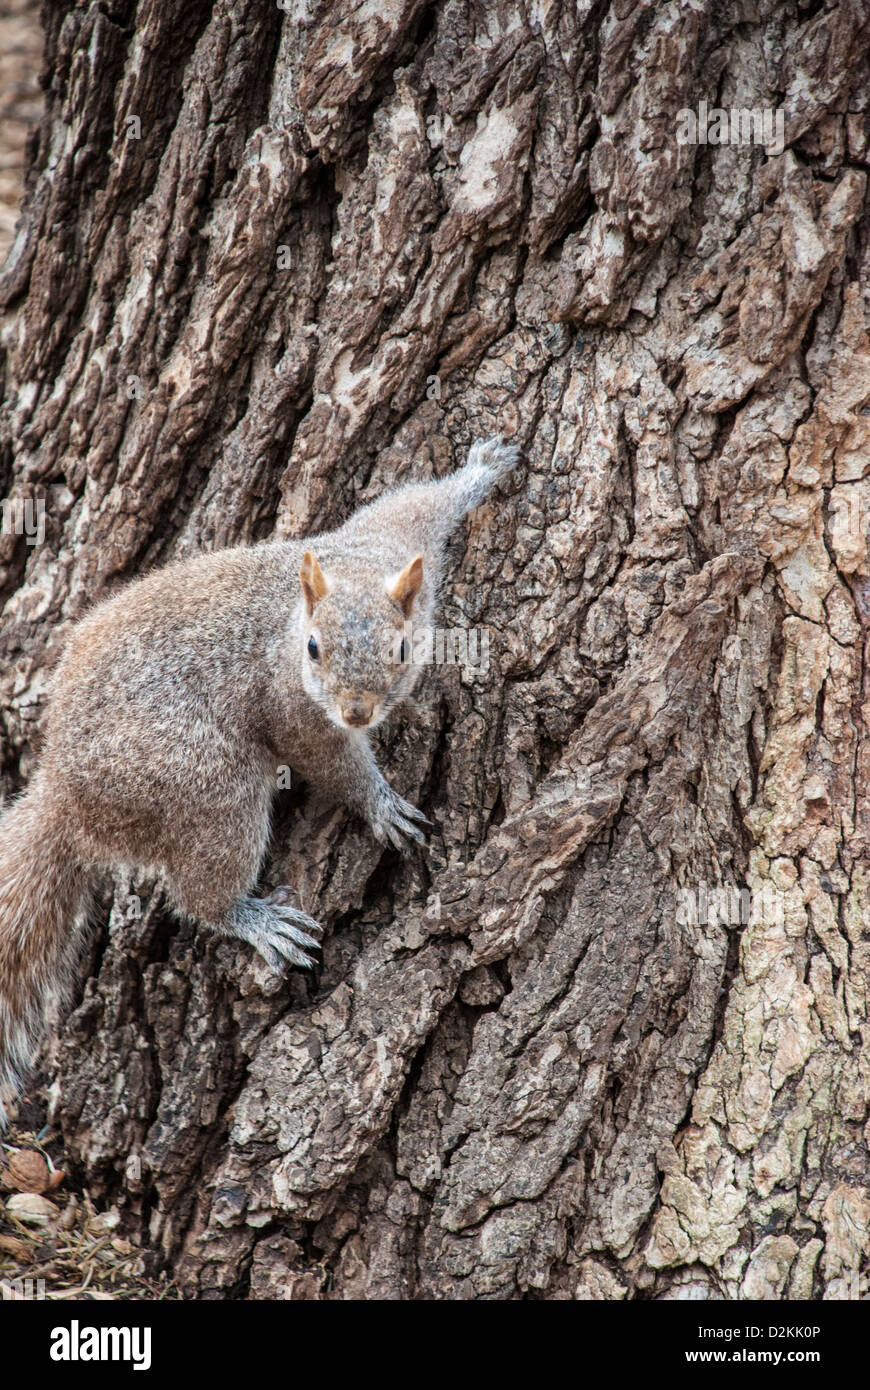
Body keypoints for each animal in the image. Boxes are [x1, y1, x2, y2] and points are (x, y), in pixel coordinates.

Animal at [0, 430, 514, 1117]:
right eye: (314, 650)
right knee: (200, 894)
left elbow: (418, 500)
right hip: (205, 784)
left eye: (401, 649)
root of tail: (65, 800)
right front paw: (380, 805)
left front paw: (482, 470)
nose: (356, 711)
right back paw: (257, 922)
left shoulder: (393, 537)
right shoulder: (295, 714)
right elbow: (331, 764)